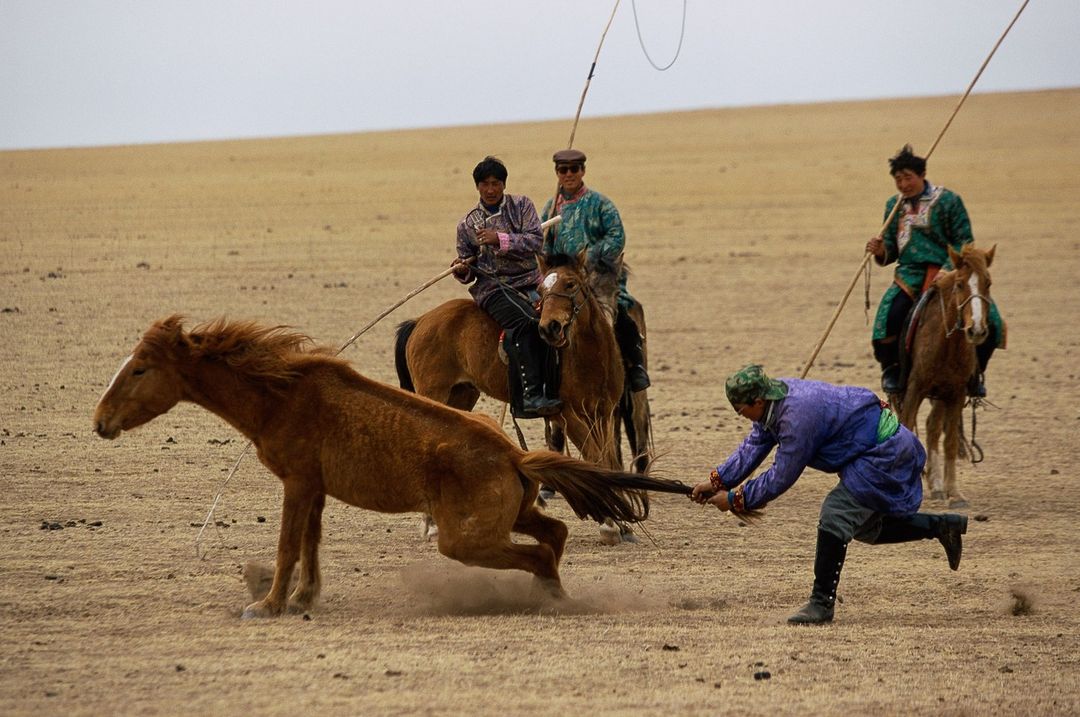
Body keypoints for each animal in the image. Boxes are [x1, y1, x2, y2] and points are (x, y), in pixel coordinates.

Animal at [92, 315, 691, 617]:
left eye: (140, 369)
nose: (100, 421)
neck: (280, 395)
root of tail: (513, 453)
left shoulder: (297, 483)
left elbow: (288, 545)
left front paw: (267, 604)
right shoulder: (315, 490)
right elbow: (310, 544)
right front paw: (304, 598)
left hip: (465, 538)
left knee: (542, 552)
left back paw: (552, 600)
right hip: (508, 518)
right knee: (556, 534)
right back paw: (553, 595)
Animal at [890, 243, 997, 509]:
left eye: (988, 282)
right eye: (959, 284)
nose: (976, 330)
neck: (948, 343)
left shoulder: (956, 392)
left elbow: (949, 442)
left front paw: (955, 494)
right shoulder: (915, 387)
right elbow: (907, 427)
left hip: (941, 392)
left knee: (933, 427)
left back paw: (937, 486)